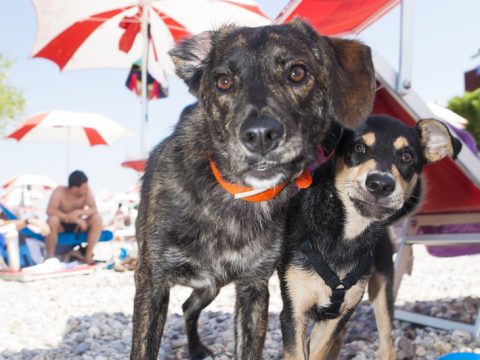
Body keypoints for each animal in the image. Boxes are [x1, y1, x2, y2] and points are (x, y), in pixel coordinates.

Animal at [129, 20, 376, 360]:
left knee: (189, 306)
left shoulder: (254, 287)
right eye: (223, 81)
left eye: (297, 73)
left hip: (209, 287)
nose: (260, 135)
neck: (234, 198)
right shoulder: (151, 282)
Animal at [280, 116, 464, 360]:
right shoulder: (294, 313)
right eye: (358, 147)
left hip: (383, 289)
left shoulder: (337, 316)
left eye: (407, 156)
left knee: (387, 345)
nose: (381, 184)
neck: (344, 236)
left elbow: (318, 351)